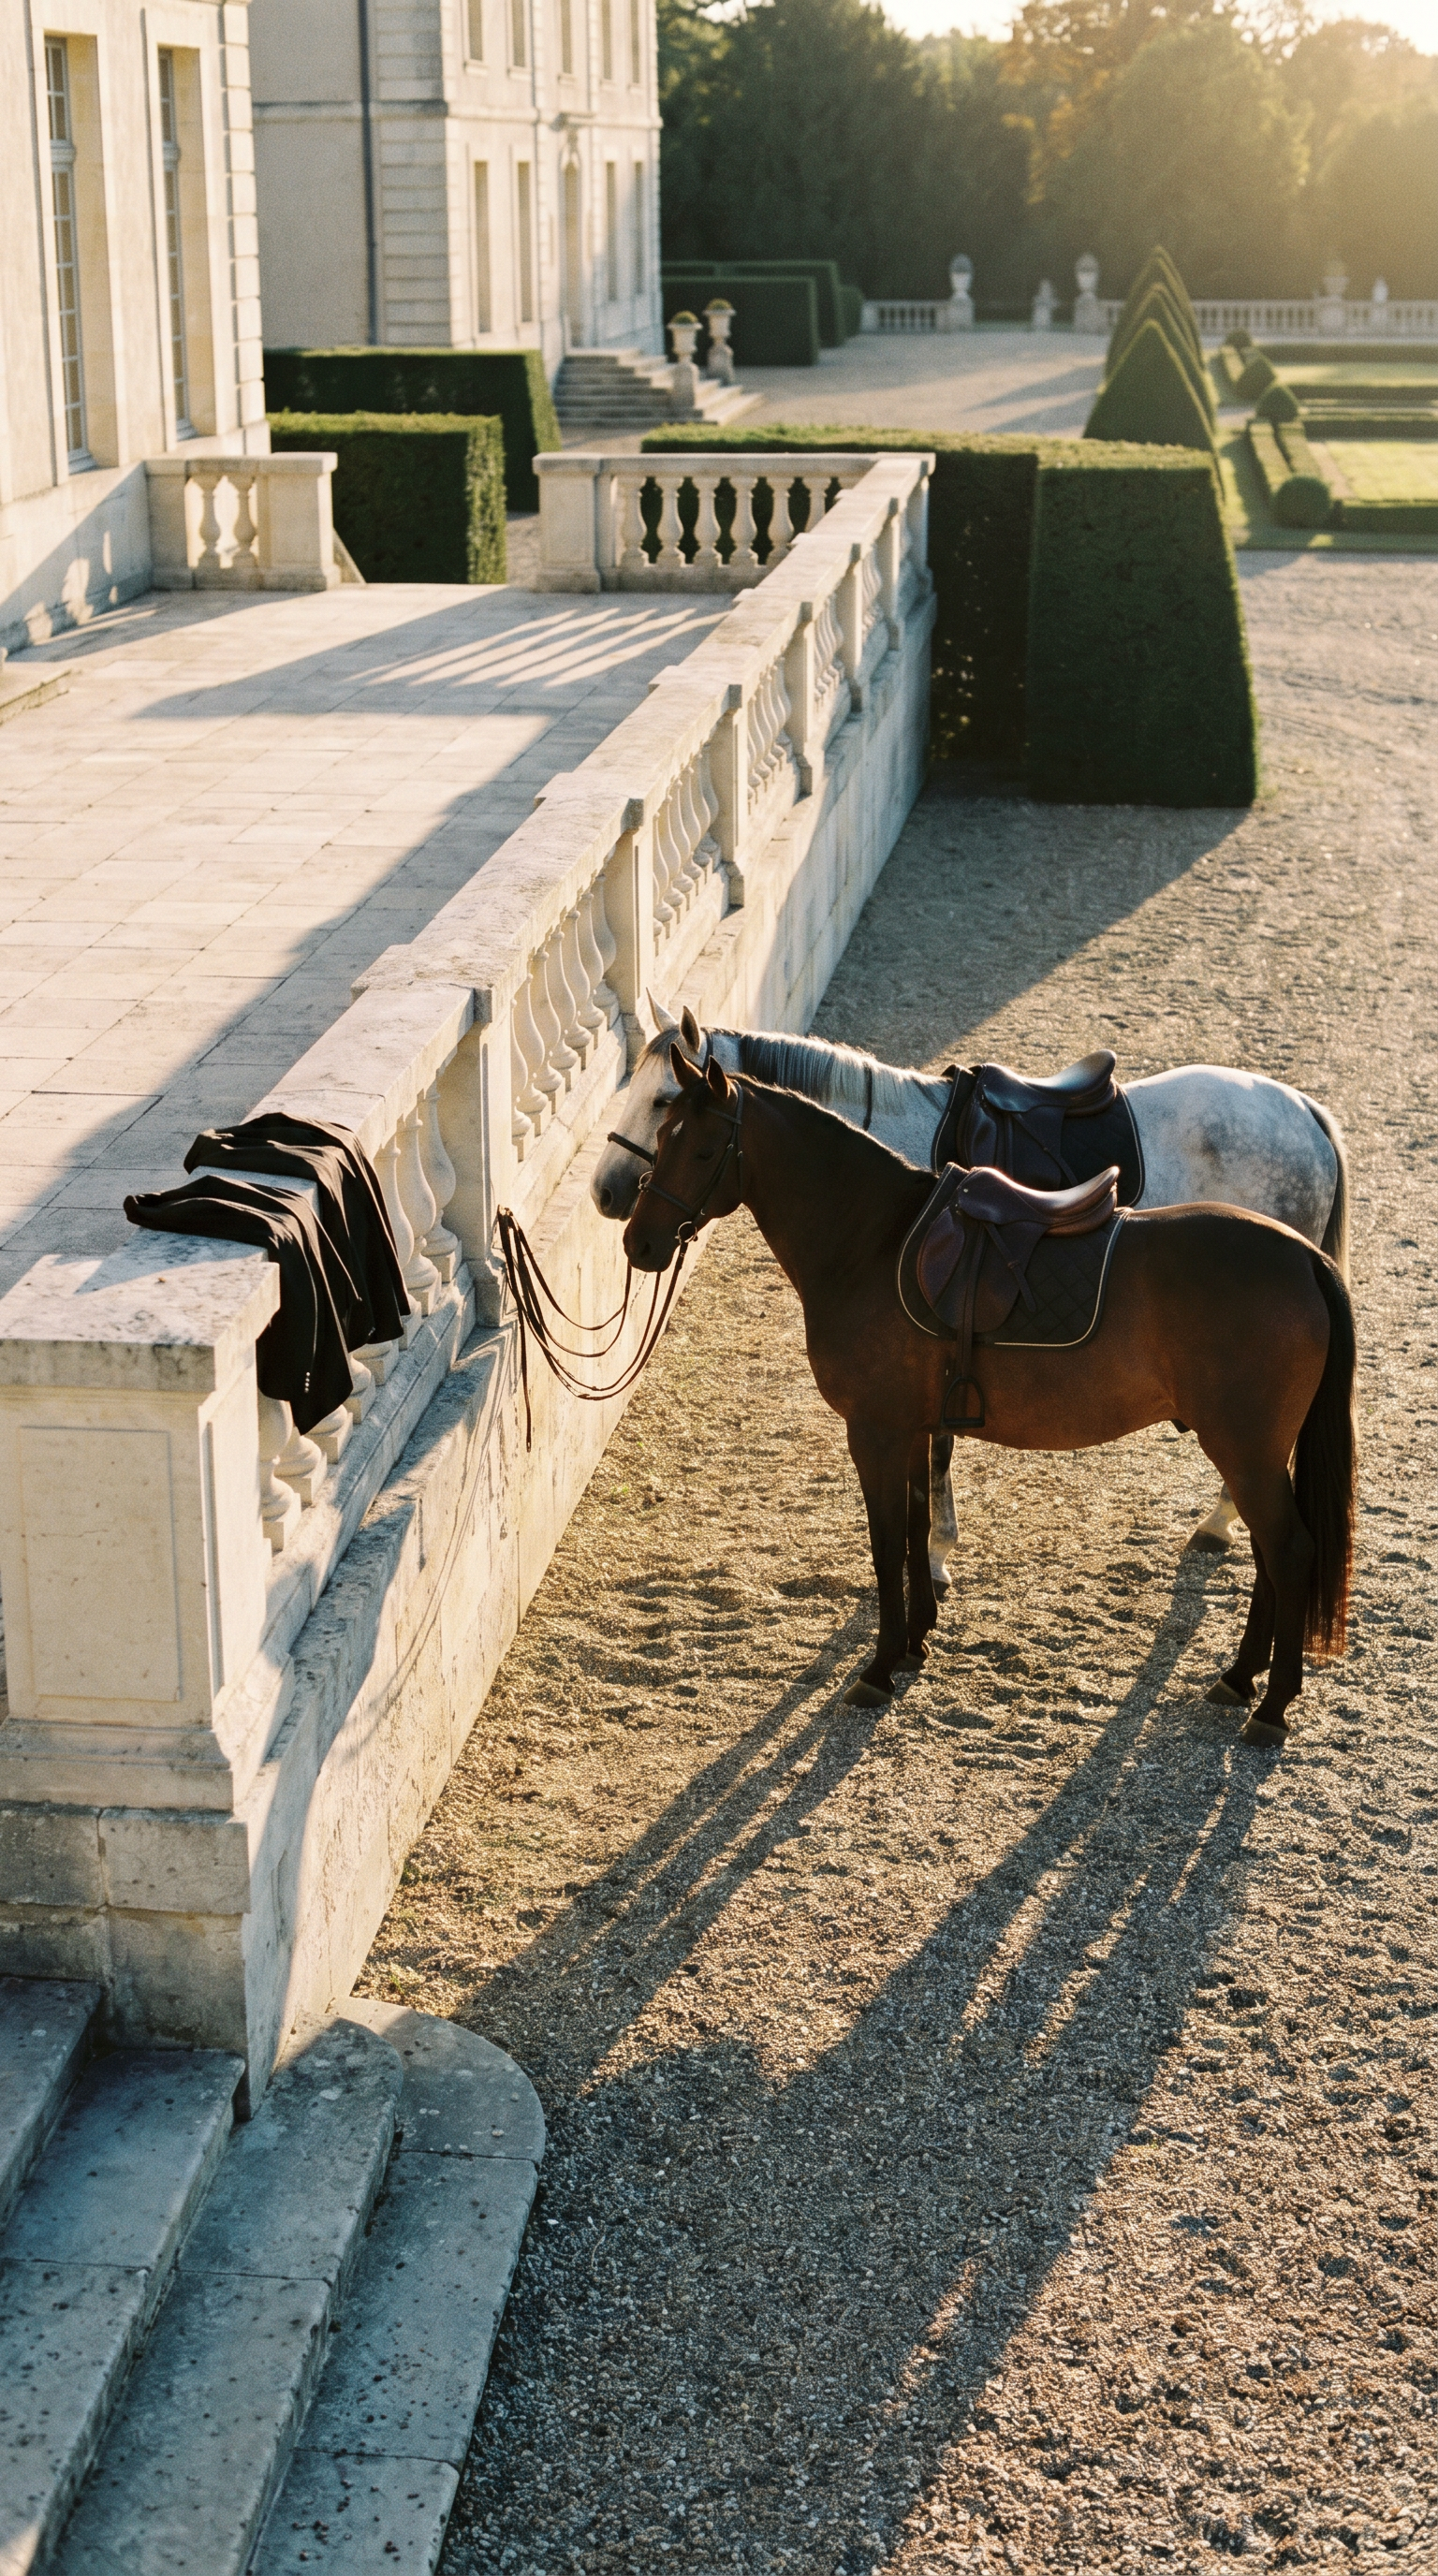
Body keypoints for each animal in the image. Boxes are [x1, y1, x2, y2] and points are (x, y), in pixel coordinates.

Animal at [592, 1001, 1349, 1573]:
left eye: (665, 1101)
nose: (605, 1193)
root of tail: (1304, 1111)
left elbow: (937, 1450)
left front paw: (933, 1553)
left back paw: (1221, 1521)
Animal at [622, 1050, 1355, 1746]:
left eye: (703, 1147)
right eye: (664, 1130)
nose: (639, 1241)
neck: (875, 1241)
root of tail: (1302, 1257)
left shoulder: (875, 1431)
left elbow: (887, 1546)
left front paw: (879, 1669)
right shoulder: (912, 1428)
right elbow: (916, 1530)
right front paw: (914, 1644)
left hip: (1246, 1450)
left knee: (1289, 1550)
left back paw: (1272, 1705)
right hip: (1256, 1452)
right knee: (1270, 1551)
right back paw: (1239, 1677)